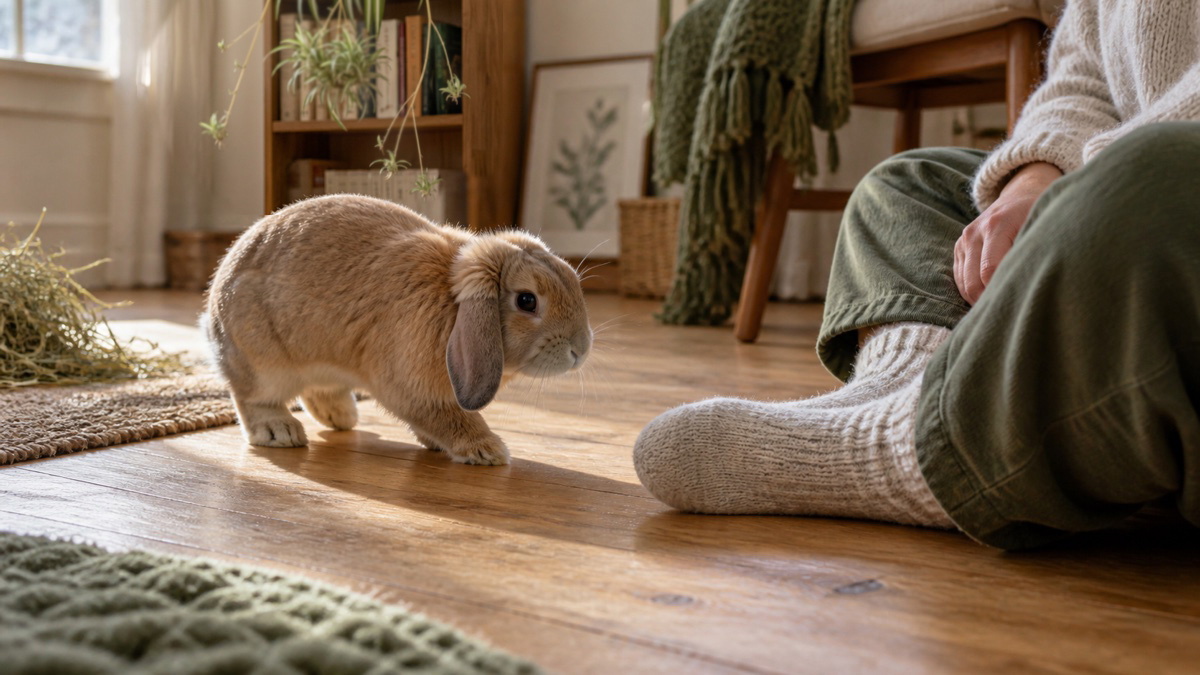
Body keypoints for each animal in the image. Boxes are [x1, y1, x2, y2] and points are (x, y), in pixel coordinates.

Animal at [202, 194, 593, 465]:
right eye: (527, 301)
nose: (581, 349)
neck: (452, 307)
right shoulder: (412, 388)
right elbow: (449, 418)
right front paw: (488, 450)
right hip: (263, 363)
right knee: (251, 398)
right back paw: (279, 431)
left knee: (317, 390)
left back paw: (342, 417)